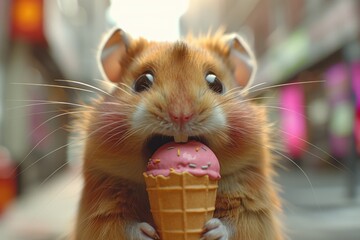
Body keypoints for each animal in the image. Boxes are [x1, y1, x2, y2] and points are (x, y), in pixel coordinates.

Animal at [72, 28, 282, 240]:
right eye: (142, 82)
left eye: (216, 83)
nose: (181, 115)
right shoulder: (101, 210)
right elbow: (122, 227)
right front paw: (146, 233)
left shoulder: (253, 207)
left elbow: (236, 225)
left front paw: (213, 230)